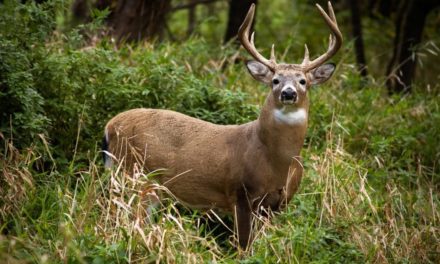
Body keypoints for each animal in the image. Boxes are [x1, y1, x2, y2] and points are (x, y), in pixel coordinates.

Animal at [102, 1, 340, 250]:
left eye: (303, 81)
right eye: (275, 80)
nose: (288, 93)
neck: (276, 161)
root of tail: (110, 127)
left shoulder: (279, 203)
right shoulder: (240, 193)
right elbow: (244, 245)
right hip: (132, 174)